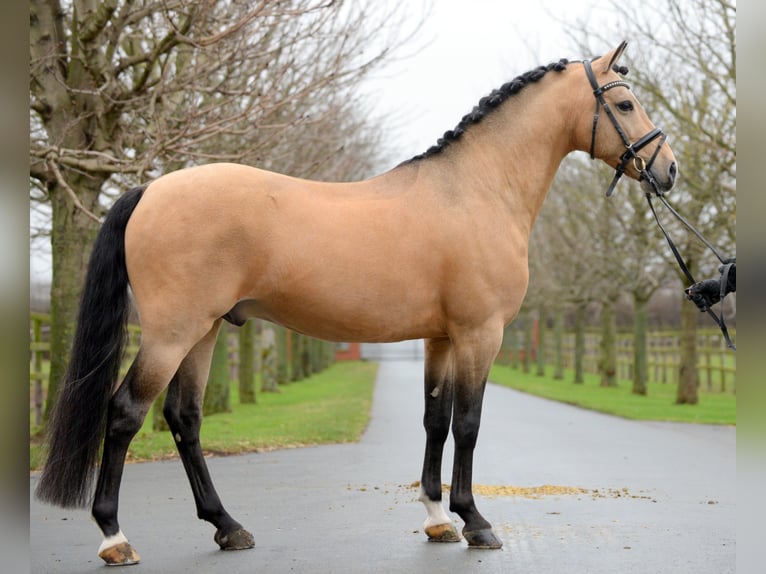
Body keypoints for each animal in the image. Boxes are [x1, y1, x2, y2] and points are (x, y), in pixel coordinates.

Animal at [35, 41, 677, 565]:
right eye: (624, 104)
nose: (667, 170)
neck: (474, 190)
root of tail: (150, 190)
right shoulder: (479, 334)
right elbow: (468, 425)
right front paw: (476, 522)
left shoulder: (441, 338)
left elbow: (435, 421)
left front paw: (437, 520)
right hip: (172, 332)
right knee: (124, 414)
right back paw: (115, 538)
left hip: (205, 329)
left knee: (184, 418)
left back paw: (227, 527)